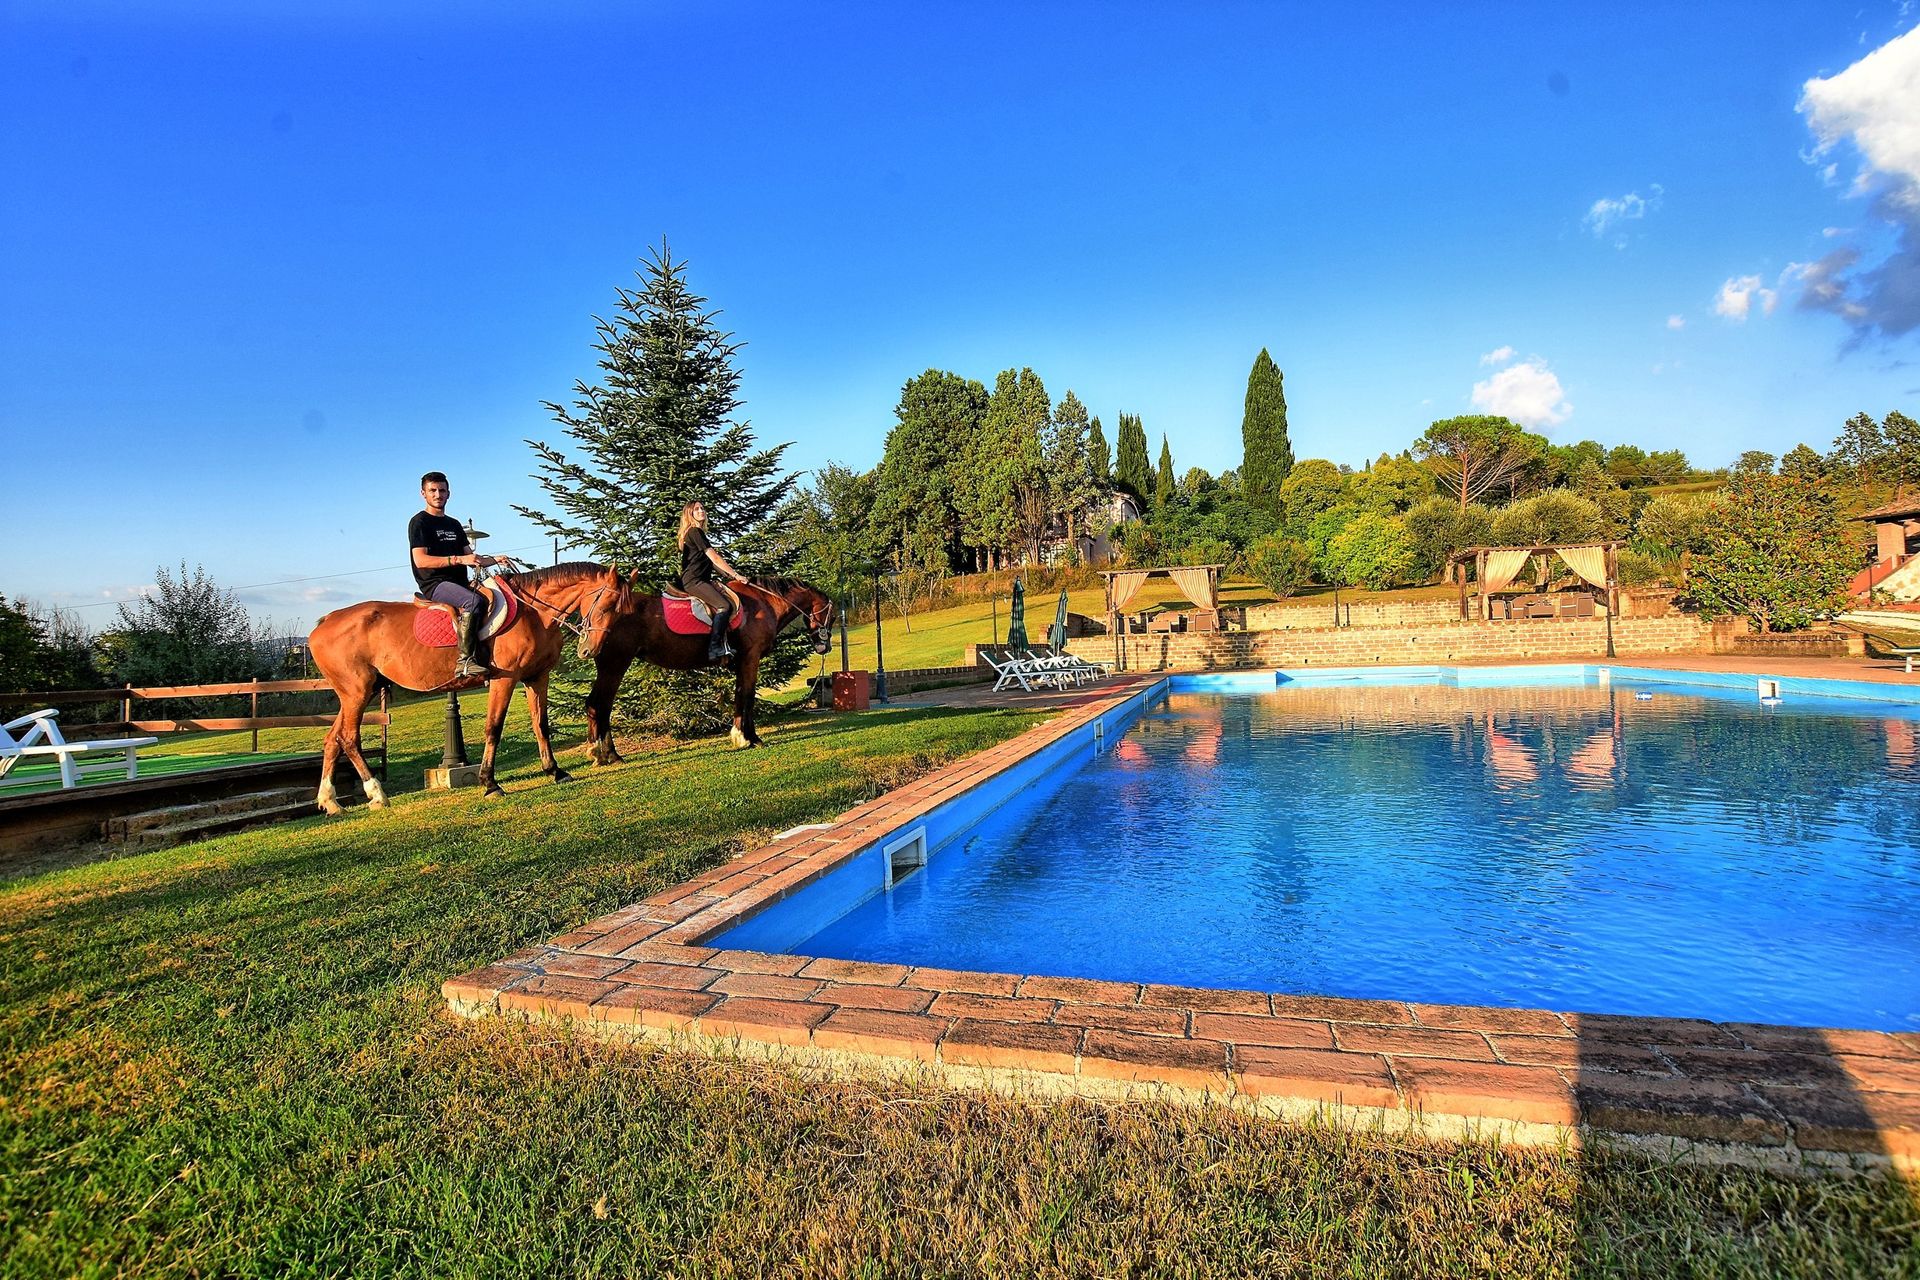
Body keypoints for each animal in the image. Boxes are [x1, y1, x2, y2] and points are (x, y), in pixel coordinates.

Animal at [308, 562, 630, 812]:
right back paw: (376, 793)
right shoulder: (504, 680)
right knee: (349, 738)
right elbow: (493, 728)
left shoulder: (536, 678)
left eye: (622, 612)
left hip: (360, 692)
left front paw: (554, 771)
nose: (591, 650)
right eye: (606, 605)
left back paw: (331, 801)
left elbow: (541, 724)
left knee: (333, 739)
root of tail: (324, 622)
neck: (534, 613)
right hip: (357, 693)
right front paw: (489, 783)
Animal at [581, 576, 835, 762]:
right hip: (615, 665)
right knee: (600, 705)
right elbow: (747, 697)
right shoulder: (750, 659)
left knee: (597, 705)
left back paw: (601, 754)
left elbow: (739, 696)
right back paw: (608, 754)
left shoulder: (742, 662)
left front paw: (741, 736)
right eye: (831, 617)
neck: (763, 603)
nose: (825, 647)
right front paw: (750, 738)